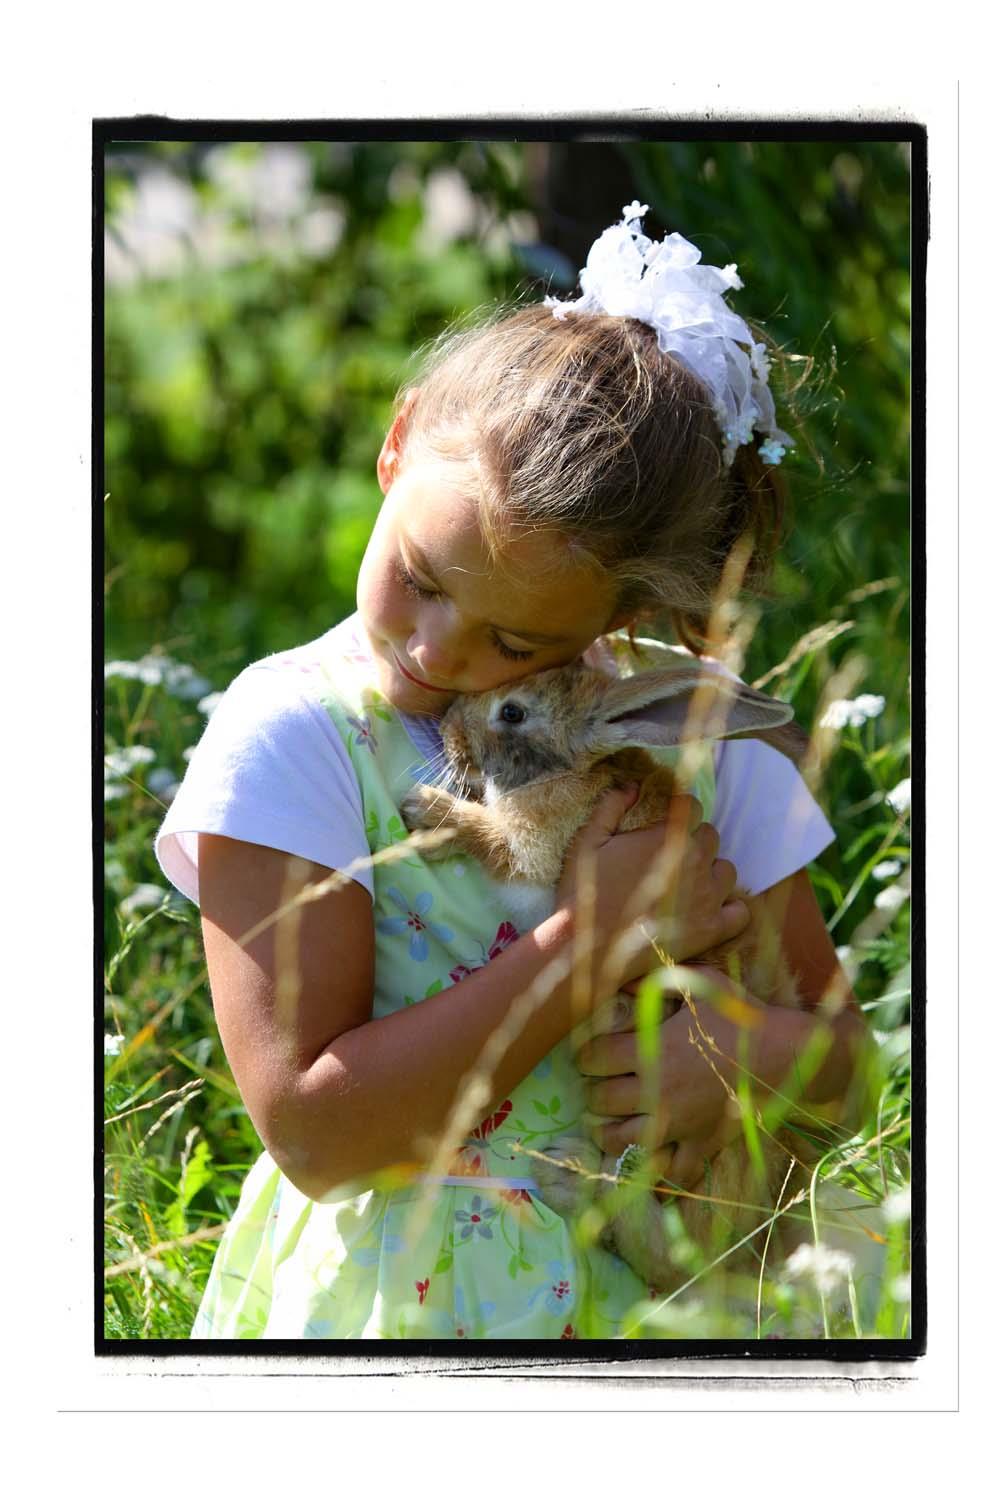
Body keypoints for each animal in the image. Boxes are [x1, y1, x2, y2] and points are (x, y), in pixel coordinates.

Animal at [401, 657, 815, 1302]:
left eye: (512, 711)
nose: (446, 729)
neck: (577, 765)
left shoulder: (535, 849)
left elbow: (493, 840)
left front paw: (425, 811)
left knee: (673, 1252)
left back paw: (568, 1176)